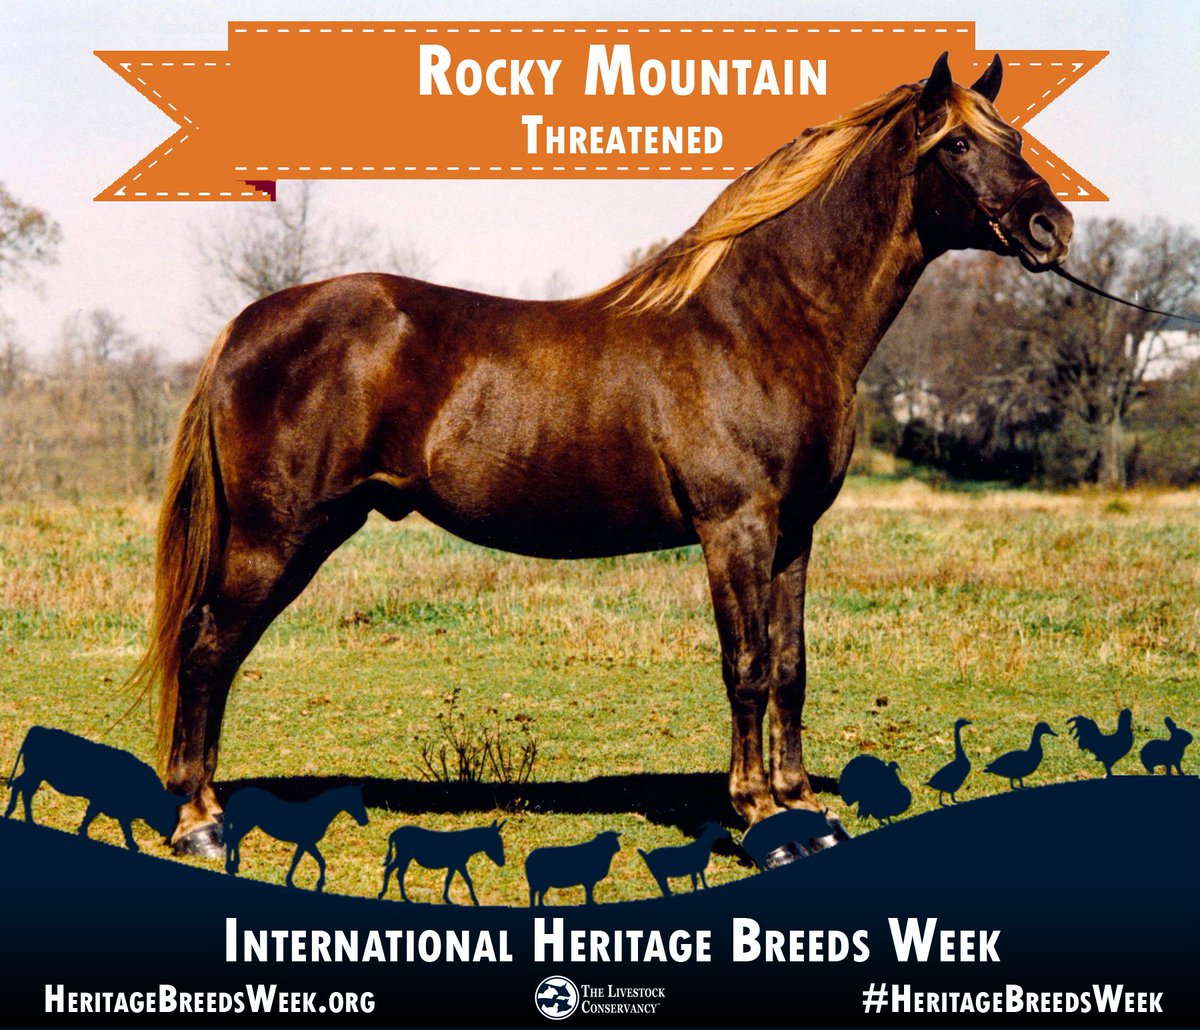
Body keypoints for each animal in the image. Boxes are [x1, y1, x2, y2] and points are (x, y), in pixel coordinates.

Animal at [131, 52, 1073, 856]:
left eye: (1017, 140)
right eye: (958, 144)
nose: (1051, 226)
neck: (760, 323)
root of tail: (251, 323)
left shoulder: (794, 533)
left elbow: (792, 667)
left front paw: (807, 809)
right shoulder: (735, 529)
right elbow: (747, 668)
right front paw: (763, 820)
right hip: (278, 534)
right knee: (208, 647)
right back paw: (199, 823)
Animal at [223, 784, 368, 892]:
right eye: (355, 800)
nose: (365, 821)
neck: (317, 812)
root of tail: (236, 795)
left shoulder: (305, 843)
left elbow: (306, 860)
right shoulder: (306, 842)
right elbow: (310, 861)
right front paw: (315, 884)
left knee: (234, 840)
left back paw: (234, 867)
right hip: (245, 823)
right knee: (232, 840)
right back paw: (231, 867)